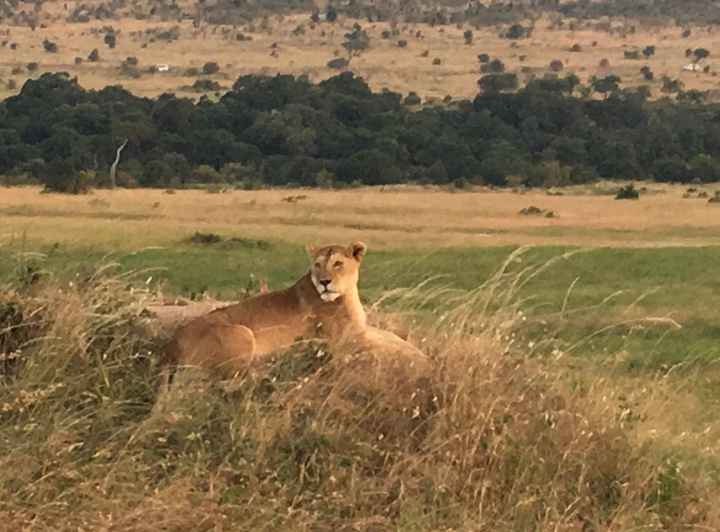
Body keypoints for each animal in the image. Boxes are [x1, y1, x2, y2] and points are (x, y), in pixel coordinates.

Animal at [165, 241, 428, 382]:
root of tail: (172, 345)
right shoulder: (346, 342)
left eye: (338, 264)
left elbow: (392, 338)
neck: (347, 295)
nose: (324, 282)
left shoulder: (360, 331)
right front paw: (420, 359)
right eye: (317, 265)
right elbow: (389, 347)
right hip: (242, 333)